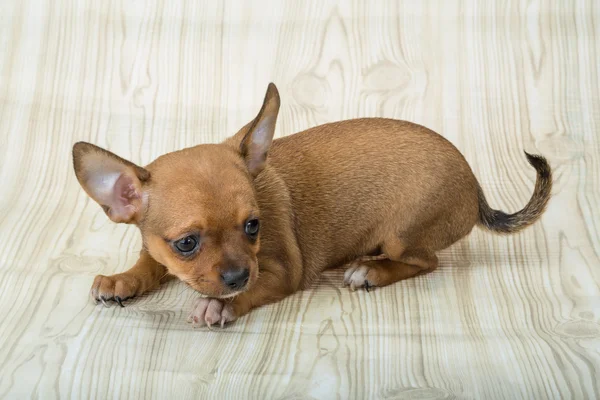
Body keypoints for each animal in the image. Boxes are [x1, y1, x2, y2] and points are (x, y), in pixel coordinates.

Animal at [71, 83, 552, 326]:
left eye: (253, 226)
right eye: (186, 244)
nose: (237, 275)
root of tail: (474, 186)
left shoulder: (283, 274)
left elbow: (252, 292)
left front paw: (222, 305)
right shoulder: (155, 248)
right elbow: (149, 263)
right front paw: (121, 280)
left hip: (401, 235)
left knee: (425, 260)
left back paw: (371, 270)